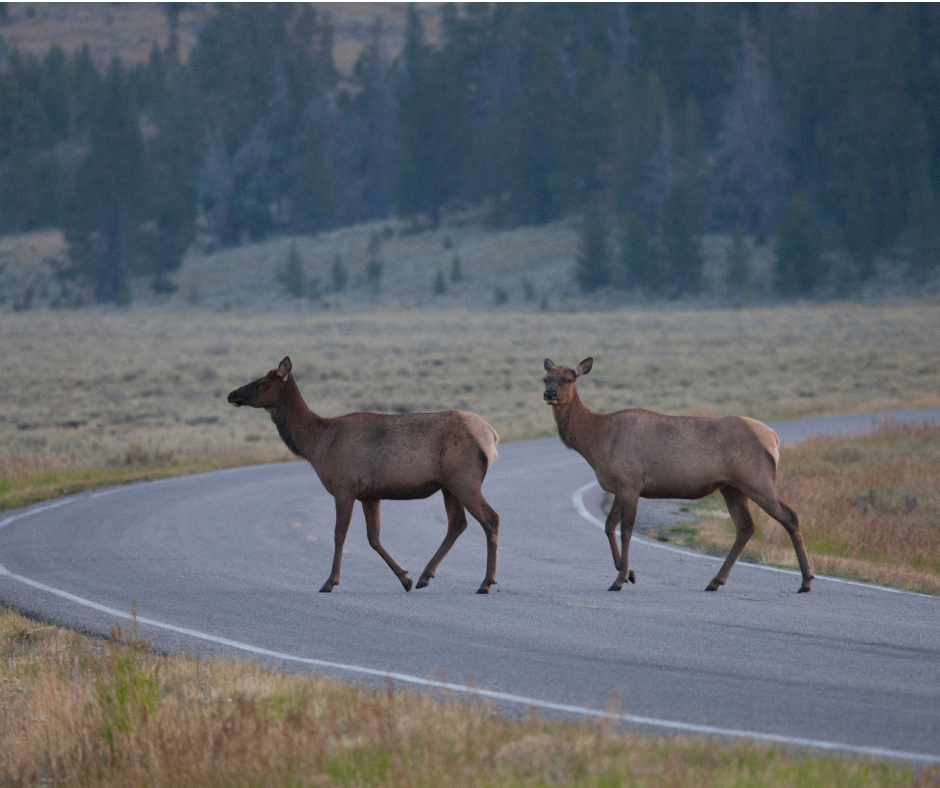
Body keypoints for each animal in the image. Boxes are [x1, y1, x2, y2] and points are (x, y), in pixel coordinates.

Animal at [229, 356, 504, 592]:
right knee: (457, 523)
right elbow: (374, 538)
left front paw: (330, 581)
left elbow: (339, 535)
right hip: (449, 485)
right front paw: (405, 577)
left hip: (464, 480)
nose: (233, 394)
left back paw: (486, 582)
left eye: (262, 382)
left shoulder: (344, 487)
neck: (316, 444)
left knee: (490, 518)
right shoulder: (369, 495)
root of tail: (492, 435)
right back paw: (425, 576)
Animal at [544, 358, 816, 592]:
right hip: (731, 487)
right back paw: (715, 581)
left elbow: (626, 531)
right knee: (746, 526)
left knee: (789, 516)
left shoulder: (630, 483)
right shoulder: (620, 487)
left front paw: (620, 579)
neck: (596, 440)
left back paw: (806, 580)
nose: (549, 394)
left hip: (757, 480)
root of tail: (773, 438)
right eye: (545, 378)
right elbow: (609, 526)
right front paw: (629, 573)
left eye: (568, 378)